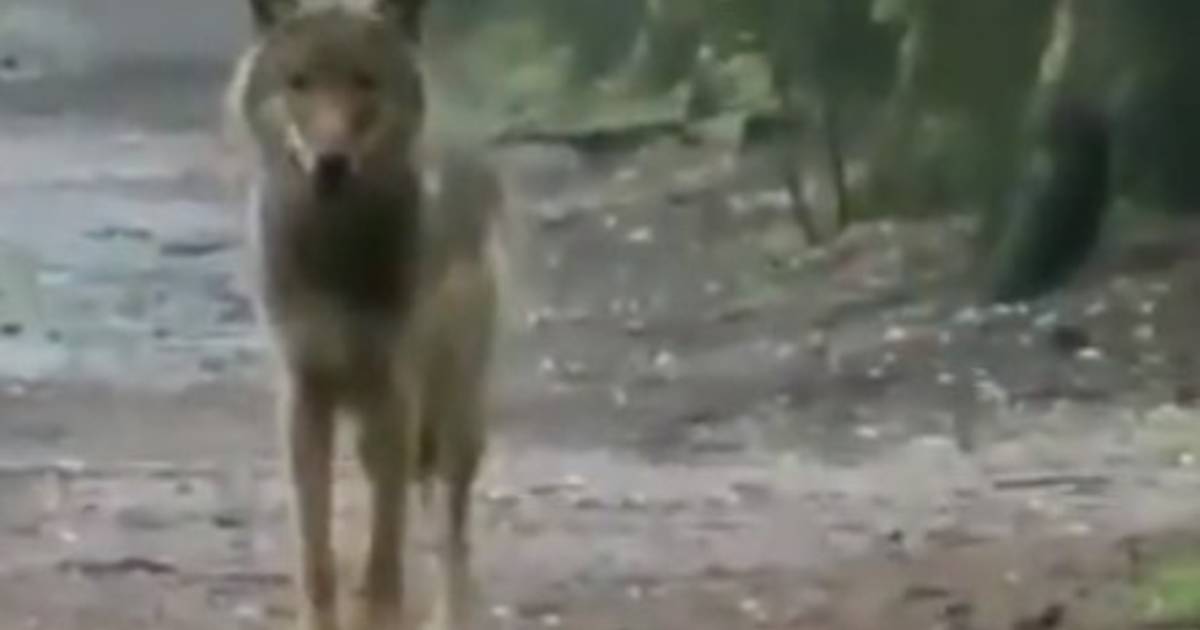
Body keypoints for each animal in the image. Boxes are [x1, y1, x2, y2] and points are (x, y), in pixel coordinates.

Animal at [223, 2, 504, 624]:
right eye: (300, 83)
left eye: (364, 82)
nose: (331, 164)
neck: (334, 253)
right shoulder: (304, 393)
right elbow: (317, 552)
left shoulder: (394, 391)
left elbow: (386, 548)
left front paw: (379, 615)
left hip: (454, 415)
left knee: (451, 534)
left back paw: (448, 616)